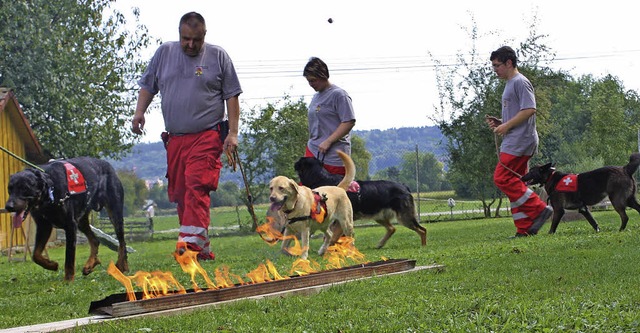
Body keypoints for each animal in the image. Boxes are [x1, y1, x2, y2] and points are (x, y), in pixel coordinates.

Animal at [294, 155, 424, 246]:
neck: (320, 178)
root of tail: (404, 186)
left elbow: (333, 236)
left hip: (404, 218)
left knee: (422, 230)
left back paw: (423, 246)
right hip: (379, 216)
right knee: (392, 228)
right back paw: (380, 244)